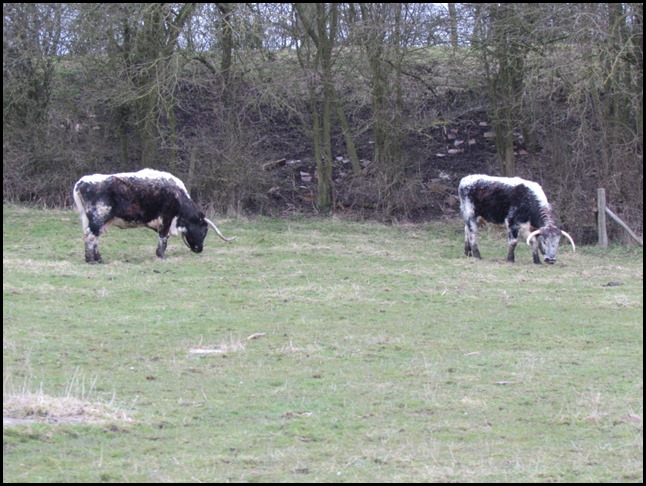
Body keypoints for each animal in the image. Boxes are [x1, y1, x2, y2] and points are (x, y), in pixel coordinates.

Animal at [72, 169, 234, 264]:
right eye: (204, 231)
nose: (199, 249)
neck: (177, 195)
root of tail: (81, 182)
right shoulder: (166, 219)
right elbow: (163, 239)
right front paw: (161, 256)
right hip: (98, 218)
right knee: (90, 236)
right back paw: (91, 260)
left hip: (93, 220)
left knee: (94, 237)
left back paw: (98, 258)